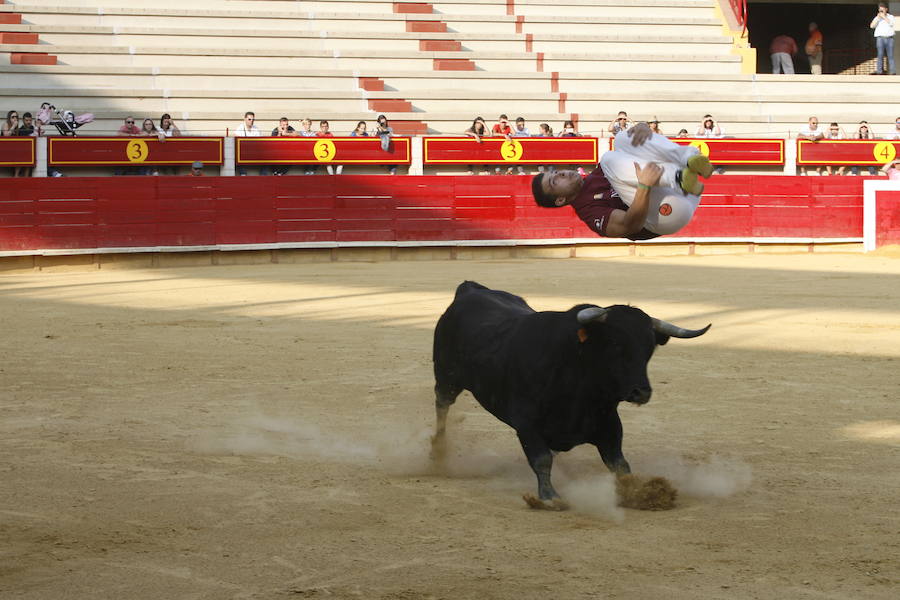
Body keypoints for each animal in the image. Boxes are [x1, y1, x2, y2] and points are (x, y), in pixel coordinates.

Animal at [430, 282, 712, 510]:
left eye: (649, 348)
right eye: (615, 344)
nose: (641, 392)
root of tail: (470, 290)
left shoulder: (609, 424)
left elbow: (620, 465)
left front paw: (640, 494)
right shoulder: (526, 422)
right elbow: (542, 460)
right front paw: (550, 498)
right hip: (446, 378)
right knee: (442, 406)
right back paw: (438, 451)